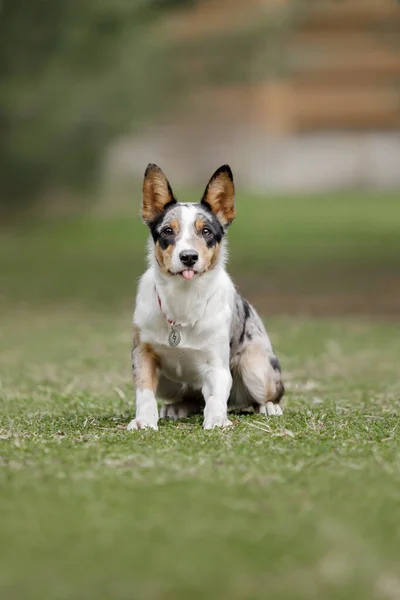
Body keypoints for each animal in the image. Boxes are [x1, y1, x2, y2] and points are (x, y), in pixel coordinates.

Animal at [128, 162, 284, 428]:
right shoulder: (142, 353)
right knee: (192, 399)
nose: (189, 257)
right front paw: (143, 421)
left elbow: (215, 399)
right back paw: (177, 407)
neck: (184, 298)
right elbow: (144, 393)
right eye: (168, 230)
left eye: (207, 231)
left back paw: (269, 407)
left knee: (262, 396)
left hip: (255, 369)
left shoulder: (217, 365)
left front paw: (218, 420)